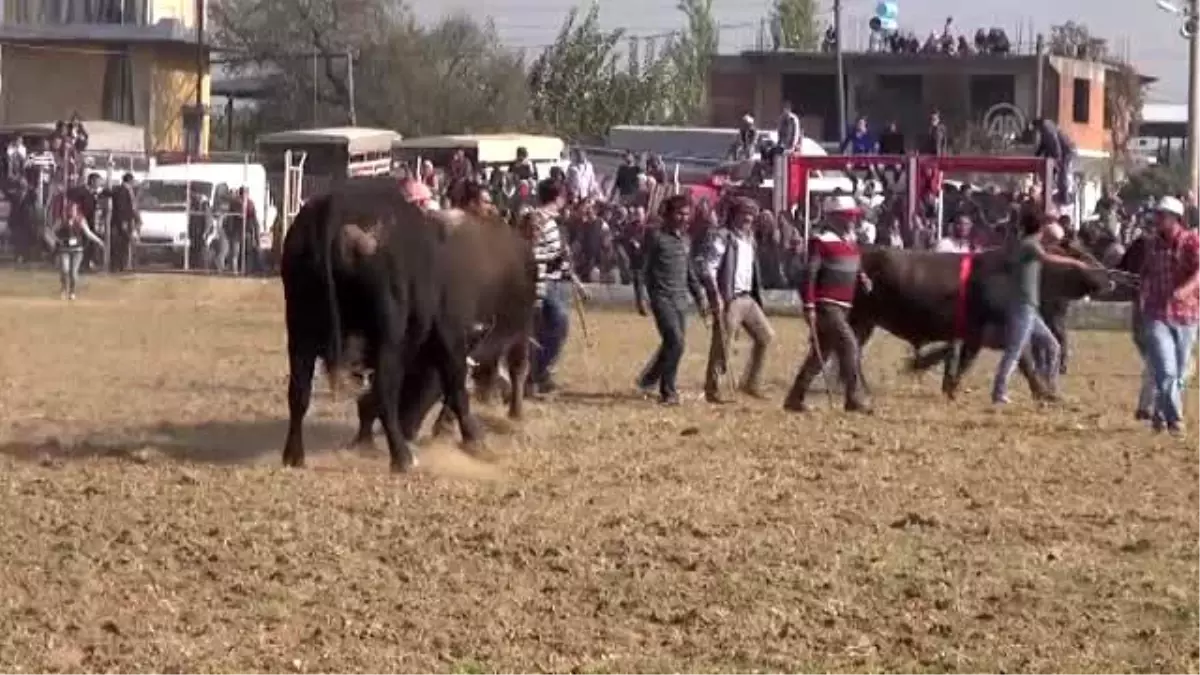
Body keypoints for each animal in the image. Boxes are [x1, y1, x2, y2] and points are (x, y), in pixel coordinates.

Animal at [280, 180, 535, 473]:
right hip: (388, 336)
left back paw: (294, 456)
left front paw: (364, 440)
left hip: (300, 331)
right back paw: (402, 456)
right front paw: (473, 439)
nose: (409, 427)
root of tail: (337, 206)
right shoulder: (451, 339)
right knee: (386, 391)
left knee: (299, 391)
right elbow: (456, 386)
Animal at [849, 246, 1118, 393]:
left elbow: (963, 360)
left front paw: (949, 386)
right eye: (1080, 254)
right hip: (859, 319)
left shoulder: (976, 336)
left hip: (865, 322)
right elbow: (1025, 362)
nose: (1110, 278)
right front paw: (1044, 393)